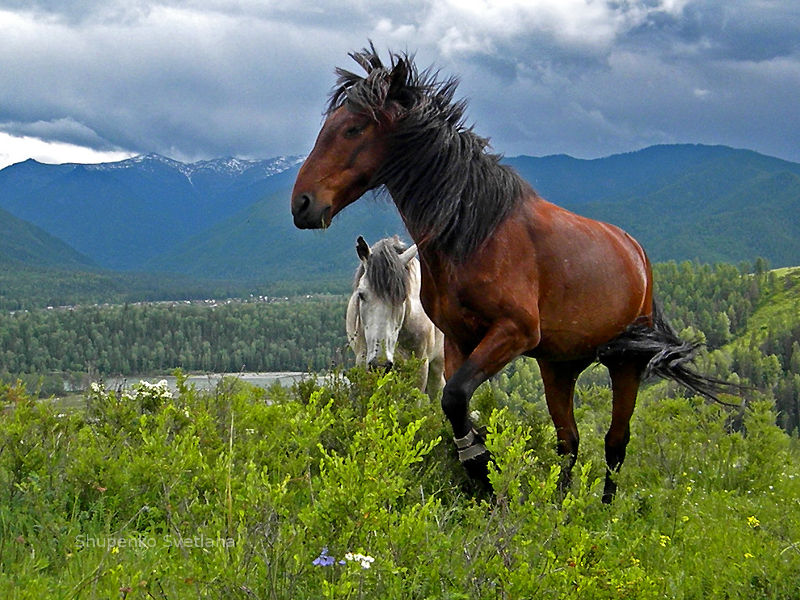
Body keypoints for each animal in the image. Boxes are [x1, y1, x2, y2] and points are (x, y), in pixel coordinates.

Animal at [346, 236, 446, 398]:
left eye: (402, 297)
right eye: (361, 294)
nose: (379, 362)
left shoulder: (420, 368)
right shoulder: (363, 363)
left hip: (436, 364)